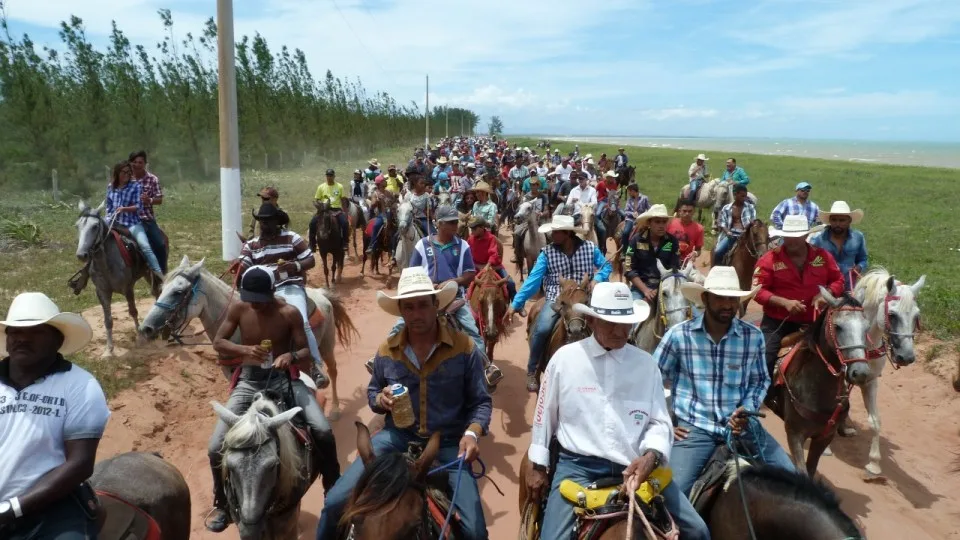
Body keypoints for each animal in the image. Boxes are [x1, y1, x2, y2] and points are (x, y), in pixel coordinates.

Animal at [75, 200, 160, 356]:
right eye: (77, 226)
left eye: (95, 226)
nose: (81, 255)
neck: (106, 264)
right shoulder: (102, 292)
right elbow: (108, 320)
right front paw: (109, 350)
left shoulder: (128, 288)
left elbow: (133, 311)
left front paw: (140, 338)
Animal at [138, 256, 356, 418]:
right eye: (161, 289)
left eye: (178, 291)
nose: (146, 328)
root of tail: (321, 293)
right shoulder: (231, 374)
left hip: (326, 344)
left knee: (333, 371)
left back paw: (335, 407)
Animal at [760, 288, 872, 474]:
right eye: (837, 327)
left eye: (867, 328)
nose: (861, 372)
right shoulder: (794, 434)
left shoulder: (824, 437)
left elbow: (811, 470)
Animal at [836, 268, 928, 478]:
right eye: (892, 315)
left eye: (916, 316)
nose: (906, 357)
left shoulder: (870, 381)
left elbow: (875, 421)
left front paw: (874, 464)